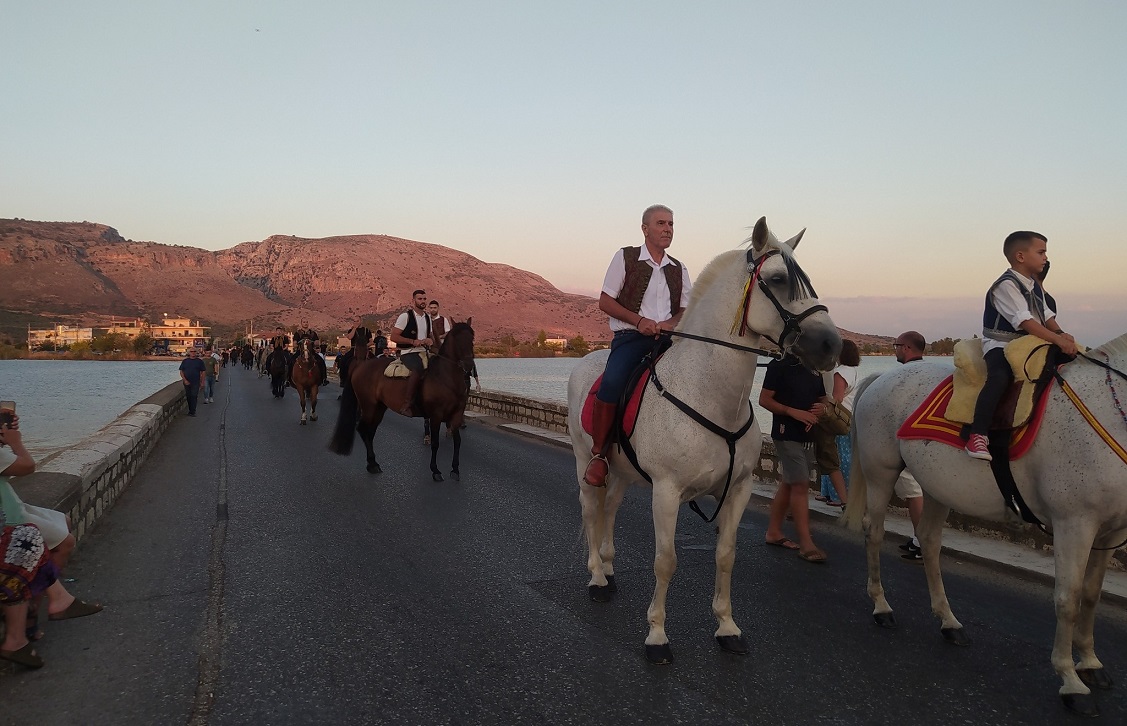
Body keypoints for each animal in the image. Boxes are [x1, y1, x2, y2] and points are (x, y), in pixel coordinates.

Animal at [329, 320, 476, 482]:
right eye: (457, 339)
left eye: (472, 338)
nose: (469, 365)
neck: (445, 377)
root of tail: (360, 366)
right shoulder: (436, 415)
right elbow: (435, 443)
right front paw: (435, 470)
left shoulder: (456, 415)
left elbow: (458, 441)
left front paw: (455, 469)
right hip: (369, 406)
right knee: (363, 429)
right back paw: (372, 463)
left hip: (379, 408)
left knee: (370, 431)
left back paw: (373, 463)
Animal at [567, 217, 841, 664]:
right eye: (778, 279)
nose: (832, 345)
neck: (709, 393)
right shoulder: (666, 491)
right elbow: (666, 561)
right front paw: (657, 636)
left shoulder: (737, 491)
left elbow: (726, 557)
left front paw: (727, 628)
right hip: (583, 459)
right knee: (592, 509)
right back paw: (595, 578)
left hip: (621, 470)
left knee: (610, 509)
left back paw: (607, 567)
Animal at [840, 336, 1127, 717]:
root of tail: (884, 377)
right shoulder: (1074, 524)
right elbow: (1068, 599)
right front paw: (1070, 680)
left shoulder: (1111, 531)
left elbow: (1092, 595)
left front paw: (1091, 663)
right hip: (881, 474)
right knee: (874, 533)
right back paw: (882, 606)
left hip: (937, 486)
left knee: (928, 542)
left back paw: (948, 621)